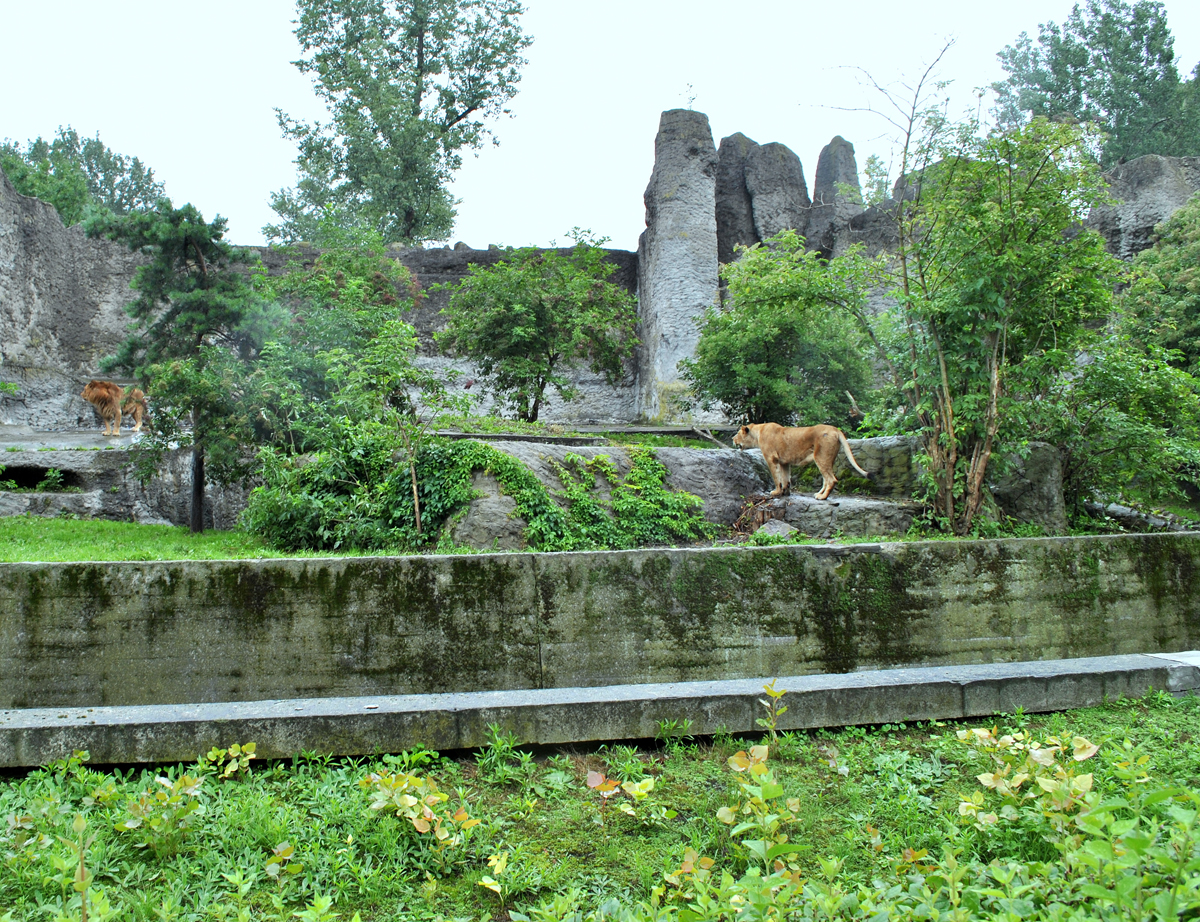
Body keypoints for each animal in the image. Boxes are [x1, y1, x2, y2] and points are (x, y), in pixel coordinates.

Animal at [733, 422, 870, 500]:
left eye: (738, 433)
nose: (732, 439)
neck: (758, 432)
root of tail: (835, 429)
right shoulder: (784, 462)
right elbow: (785, 478)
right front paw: (785, 492)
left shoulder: (771, 458)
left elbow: (776, 477)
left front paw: (776, 492)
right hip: (828, 458)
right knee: (826, 479)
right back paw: (818, 494)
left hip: (821, 456)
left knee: (832, 479)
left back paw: (822, 497)